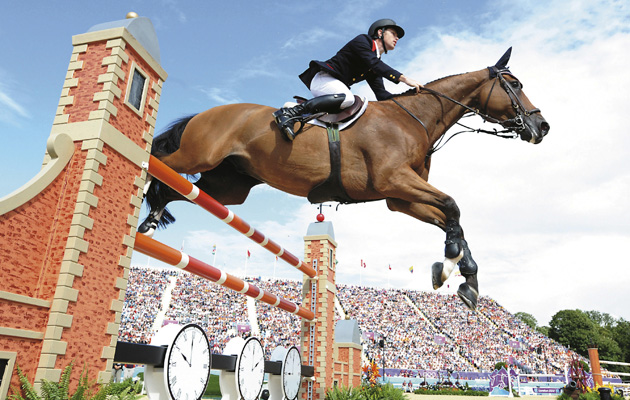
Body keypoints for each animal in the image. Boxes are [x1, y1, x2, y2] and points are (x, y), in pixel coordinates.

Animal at [138, 47, 548, 310]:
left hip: (228, 188)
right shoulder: (395, 180)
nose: (541, 126)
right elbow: (452, 206)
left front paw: (463, 278)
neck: (413, 120)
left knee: (176, 190)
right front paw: (451, 264)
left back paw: (150, 220)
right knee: (158, 160)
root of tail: (203, 113)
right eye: (514, 84)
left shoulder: (400, 199)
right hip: (198, 154)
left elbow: (452, 219)